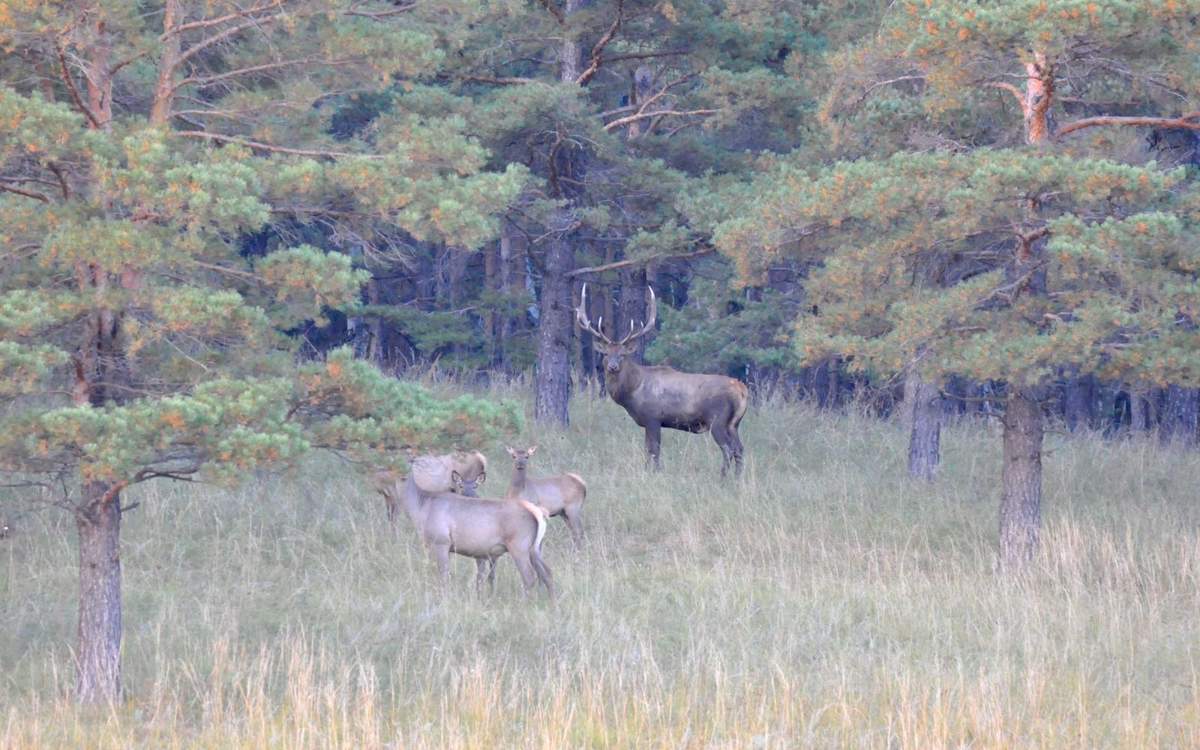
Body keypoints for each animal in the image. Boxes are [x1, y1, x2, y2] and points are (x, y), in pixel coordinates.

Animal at [372, 456, 554, 597]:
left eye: (405, 465)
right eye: (388, 467)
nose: (401, 476)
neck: (420, 509)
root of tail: (538, 513)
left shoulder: (441, 541)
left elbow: (444, 575)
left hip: (519, 545)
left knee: (529, 576)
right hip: (535, 548)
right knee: (547, 572)